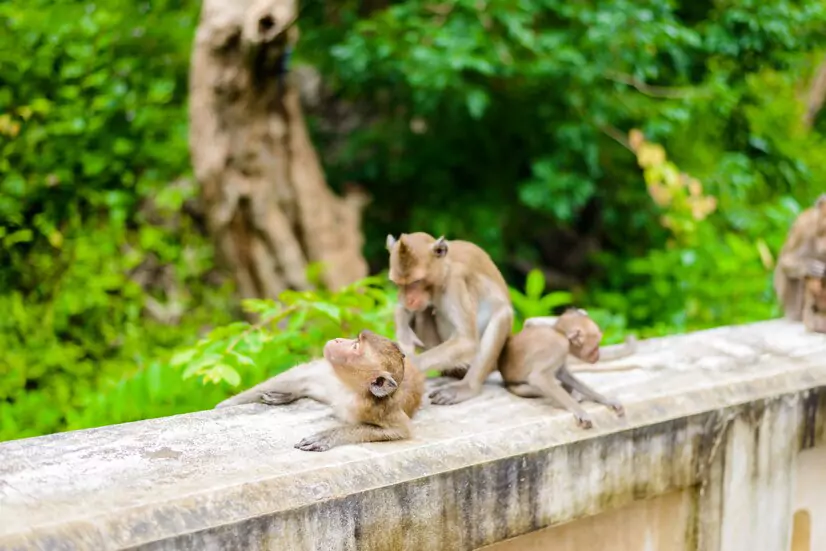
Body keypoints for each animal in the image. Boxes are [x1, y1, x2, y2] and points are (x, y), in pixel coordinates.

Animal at [216, 330, 425, 452]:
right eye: (355, 340)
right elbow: (299, 375)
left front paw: (327, 436)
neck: (347, 386)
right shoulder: (329, 373)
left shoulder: (376, 408)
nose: (338, 340)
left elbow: (400, 430)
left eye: (355, 345)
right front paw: (223, 406)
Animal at [386, 232, 514, 405]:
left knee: (502, 313)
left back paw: (467, 387)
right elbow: (403, 310)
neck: (445, 269)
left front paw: (410, 367)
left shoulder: (455, 280)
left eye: (416, 281)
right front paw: (405, 337)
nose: (409, 299)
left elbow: (466, 341)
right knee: (424, 311)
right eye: (399, 283)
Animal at [497, 308, 626, 429]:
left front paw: (604, 399)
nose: (598, 356)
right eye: (595, 347)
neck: (561, 334)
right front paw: (579, 411)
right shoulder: (558, 348)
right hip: (516, 388)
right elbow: (538, 378)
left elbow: (563, 374)